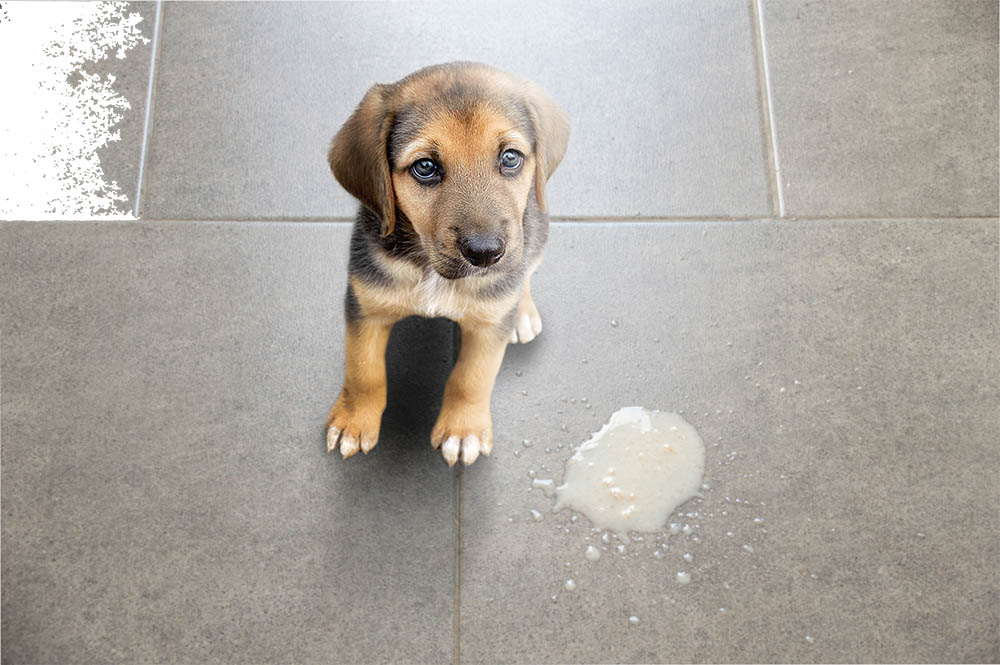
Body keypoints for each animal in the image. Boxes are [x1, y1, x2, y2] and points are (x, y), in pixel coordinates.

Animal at [324, 62, 568, 466]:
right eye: (425, 167)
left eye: (510, 158)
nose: (485, 254)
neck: (430, 269)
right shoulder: (365, 305)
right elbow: (363, 371)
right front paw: (353, 421)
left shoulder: (488, 327)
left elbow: (472, 378)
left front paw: (463, 430)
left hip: (535, 236)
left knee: (525, 274)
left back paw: (522, 313)